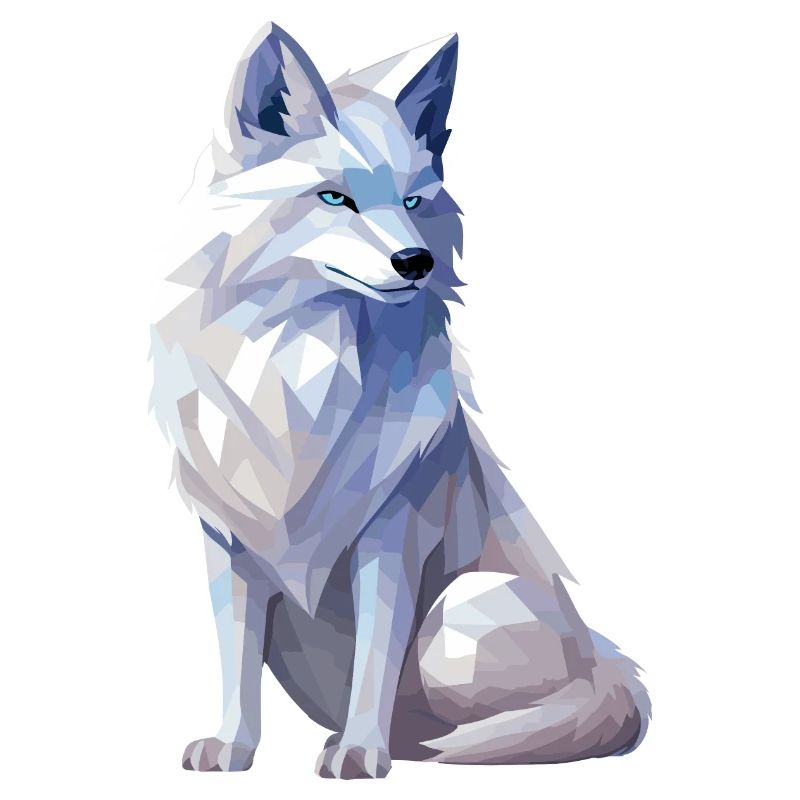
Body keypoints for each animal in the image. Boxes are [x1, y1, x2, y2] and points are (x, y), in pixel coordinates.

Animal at [150, 22, 650, 779]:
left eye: (414, 202)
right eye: (334, 199)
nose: (418, 263)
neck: (305, 377)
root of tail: (607, 663)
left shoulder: (392, 534)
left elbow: (375, 659)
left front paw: (361, 753)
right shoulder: (227, 542)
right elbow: (234, 660)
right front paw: (232, 748)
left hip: (455, 618)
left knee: (499, 727)